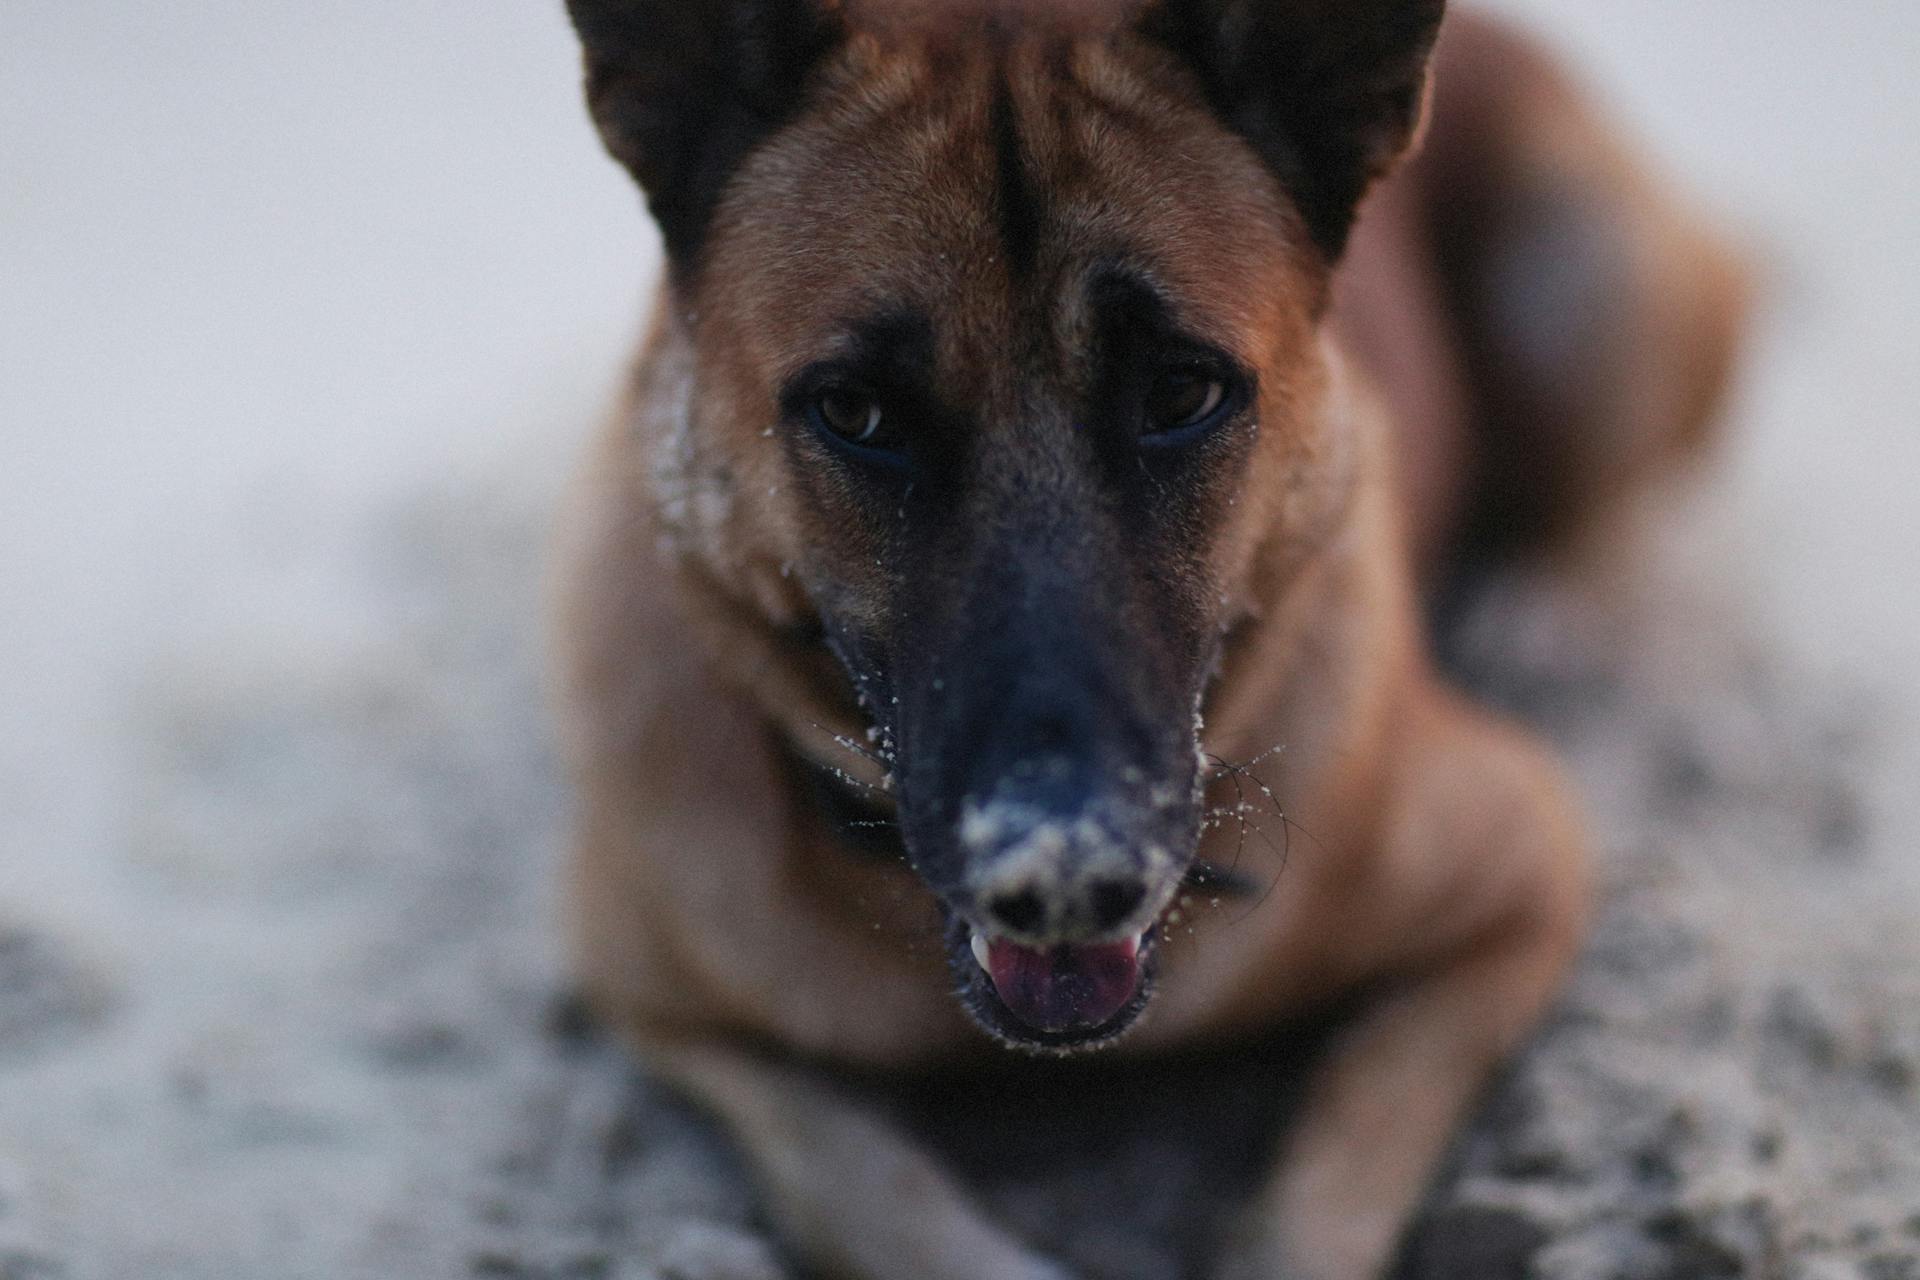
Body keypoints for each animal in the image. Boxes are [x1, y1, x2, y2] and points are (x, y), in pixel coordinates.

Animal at [549, 5, 1751, 1274]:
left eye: (1181, 394)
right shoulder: (666, 1003)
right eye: (857, 413)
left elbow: (1336, 1168)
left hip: (1583, 276)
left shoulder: (1516, 887)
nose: (1067, 878)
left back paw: (1549, 604)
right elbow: (862, 1180)